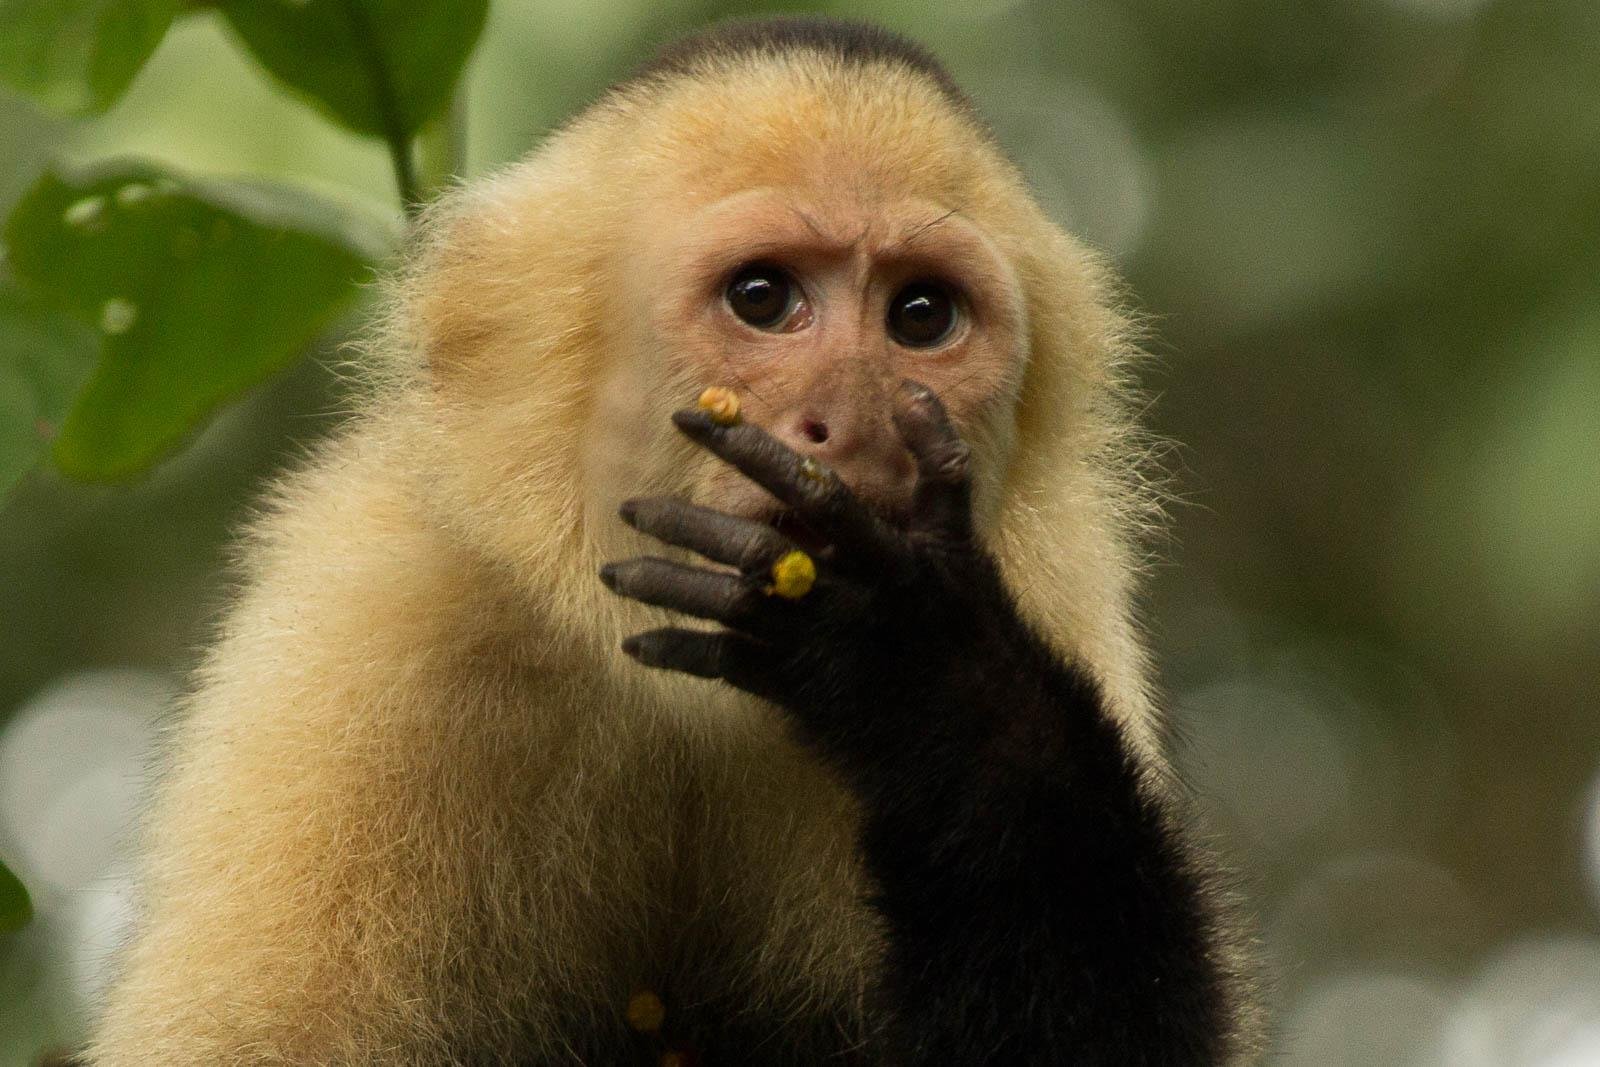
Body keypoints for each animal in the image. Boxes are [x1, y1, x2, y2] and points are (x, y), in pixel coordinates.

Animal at [87, 16, 1260, 1065]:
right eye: (762, 297)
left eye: (921, 317)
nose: (857, 429)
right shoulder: (371, 615)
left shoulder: (1053, 586)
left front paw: (925, 674)